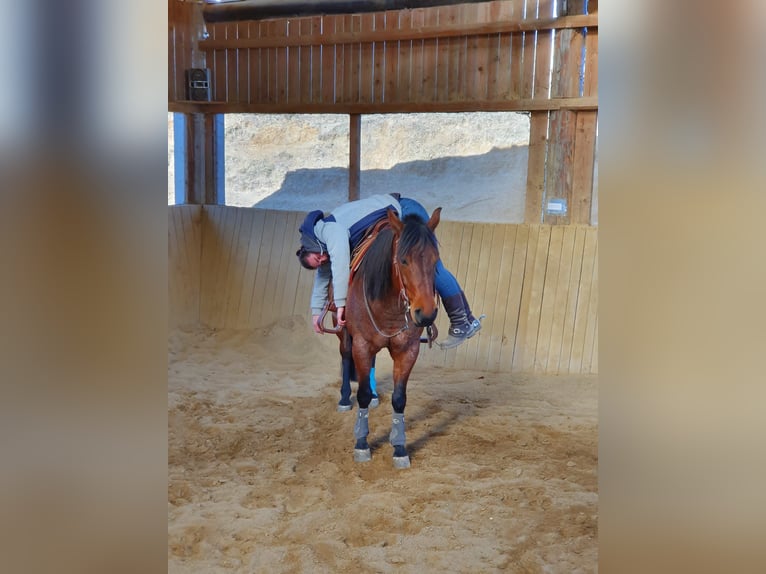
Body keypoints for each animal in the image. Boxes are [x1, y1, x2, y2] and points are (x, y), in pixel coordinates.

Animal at [340, 206, 441, 468]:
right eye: (403, 260)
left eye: (436, 260)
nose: (426, 313)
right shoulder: (362, 344)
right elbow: (362, 394)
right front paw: (362, 444)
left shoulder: (408, 350)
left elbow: (399, 398)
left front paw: (399, 447)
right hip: (343, 329)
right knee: (345, 354)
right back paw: (344, 399)